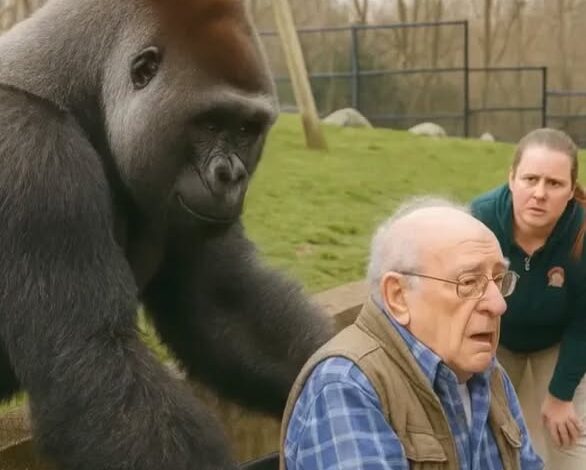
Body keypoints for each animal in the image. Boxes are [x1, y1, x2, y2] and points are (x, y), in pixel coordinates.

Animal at [0, 0, 333, 468]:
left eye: (246, 129)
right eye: (210, 124)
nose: (231, 176)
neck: (77, 85)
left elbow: (223, 305)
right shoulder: (29, 152)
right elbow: (92, 355)